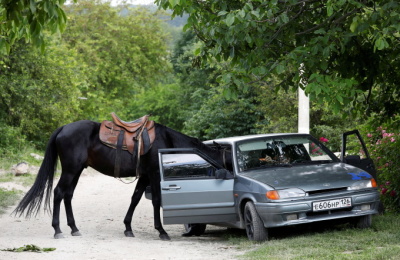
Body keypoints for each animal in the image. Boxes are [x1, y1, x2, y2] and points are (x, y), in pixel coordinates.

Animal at [14, 119, 231, 240]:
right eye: (227, 161)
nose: (231, 177)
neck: (165, 142)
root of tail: (63, 128)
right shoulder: (153, 174)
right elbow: (156, 201)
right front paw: (161, 231)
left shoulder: (144, 176)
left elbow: (135, 199)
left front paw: (128, 228)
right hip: (70, 170)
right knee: (59, 193)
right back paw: (58, 230)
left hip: (76, 171)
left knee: (67, 195)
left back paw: (74, 228)